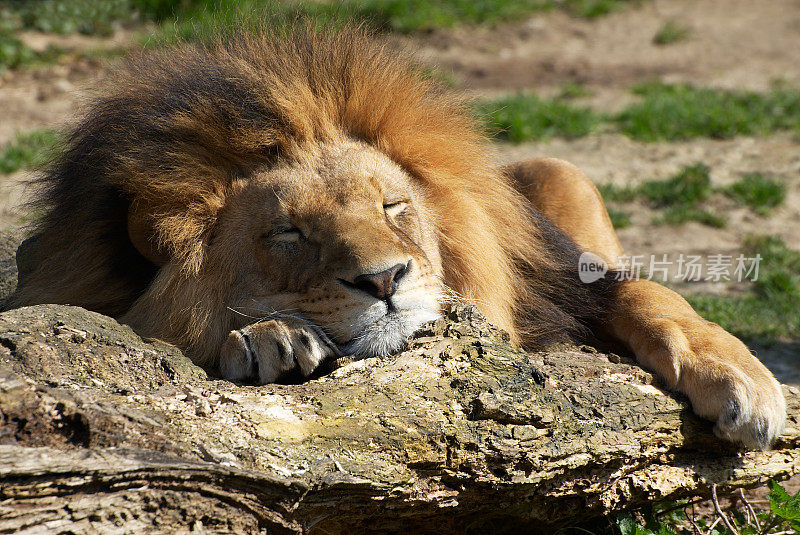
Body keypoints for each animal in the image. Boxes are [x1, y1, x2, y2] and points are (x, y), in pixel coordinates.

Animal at [6, 27, 784, 450]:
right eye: (288, 232)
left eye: (393, 206)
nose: (383, 280)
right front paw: (268, 340)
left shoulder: (566, 277)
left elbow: (654, 297)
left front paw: (745, 381)